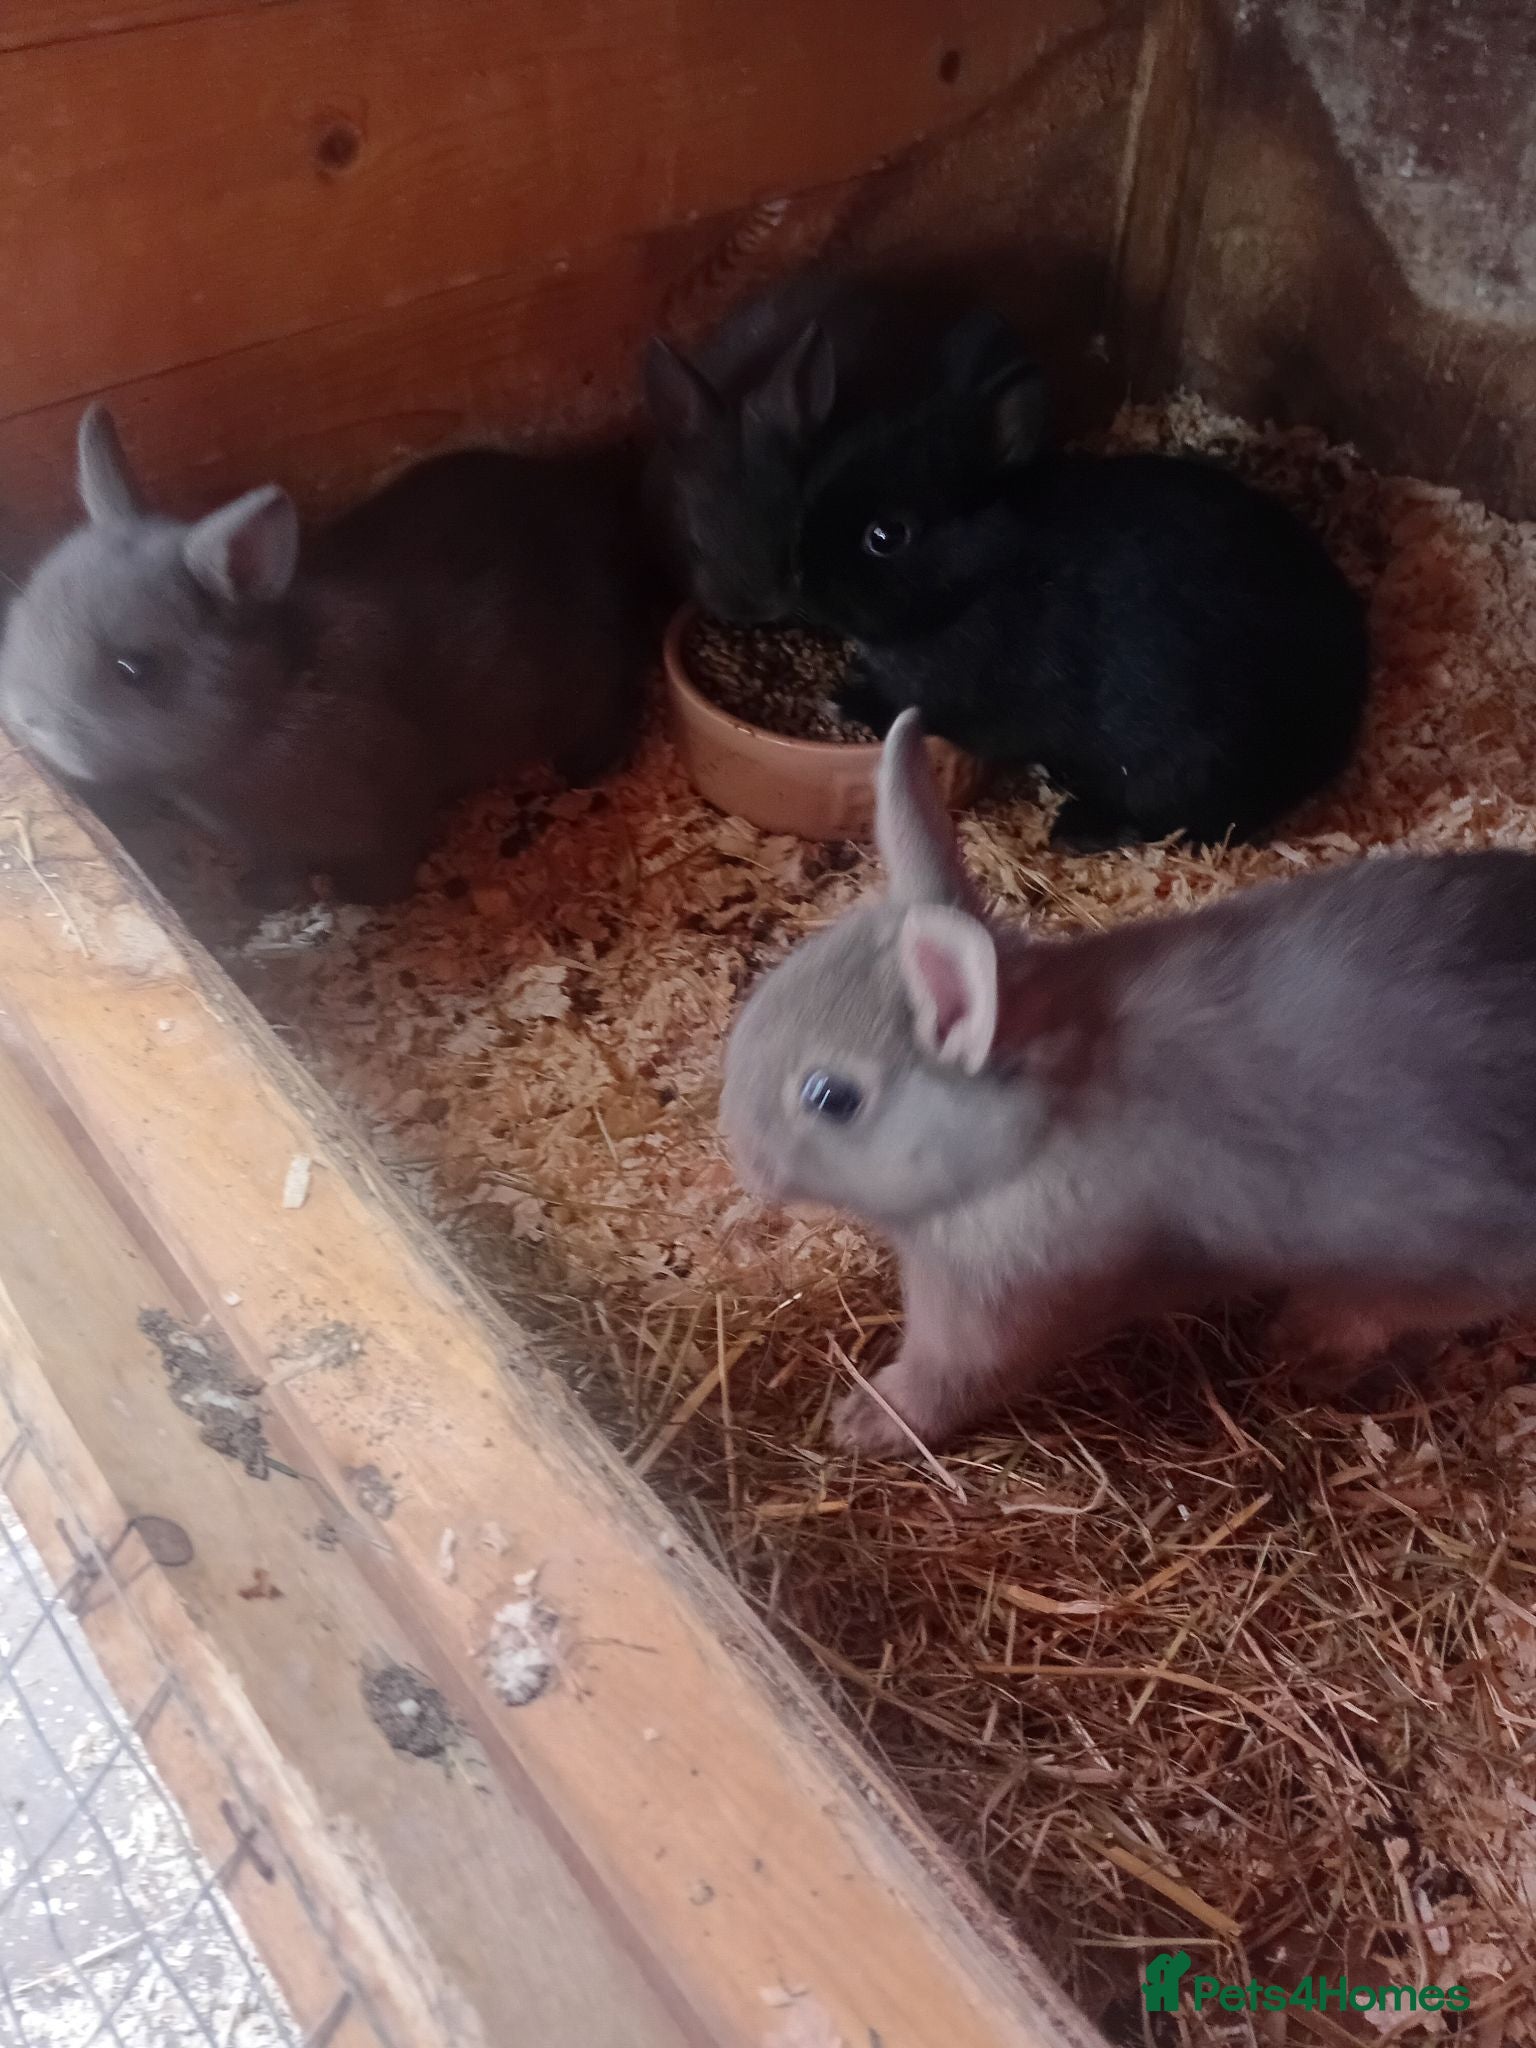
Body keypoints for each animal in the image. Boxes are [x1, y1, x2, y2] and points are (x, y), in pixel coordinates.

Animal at [0, 407, 647, 904]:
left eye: (132, 669)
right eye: (25, 614)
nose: (26, 718)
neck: (265, 710)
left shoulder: (386, 814)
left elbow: (384, 864)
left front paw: (360, 899)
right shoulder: (264, 841)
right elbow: (277, 870)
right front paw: (261, 897)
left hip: (581, 680)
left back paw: (582, 767)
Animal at [721, 709, 1536, 1456]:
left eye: (831, 1098)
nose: (747, 1162)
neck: (1023, 1132)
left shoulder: (992, 1309)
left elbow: (947, 1379)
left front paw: (865, 1422)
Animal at [790, 320, 1370, 850]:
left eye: (885, 536)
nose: (802, 577)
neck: (984, 573)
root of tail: (1335, 728)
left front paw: (844, 700)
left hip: (1180, 771)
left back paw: (1075, 829)